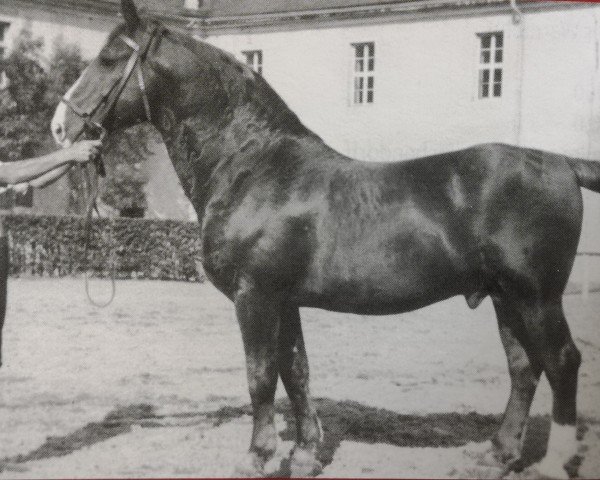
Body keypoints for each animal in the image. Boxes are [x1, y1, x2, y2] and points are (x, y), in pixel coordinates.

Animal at [50, 1, 600, 478]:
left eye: (110, 57)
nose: (59, 125)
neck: (251, 165)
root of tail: (562, 162)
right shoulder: (285, 300)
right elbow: (296, 372)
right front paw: (304, 454)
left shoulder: (256, 296)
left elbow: (260, 375)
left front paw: (257, 457)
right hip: (506, 297)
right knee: (524, 367)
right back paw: (497, 454)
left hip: (536, 296)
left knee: (561, 362)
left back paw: (554, 462)